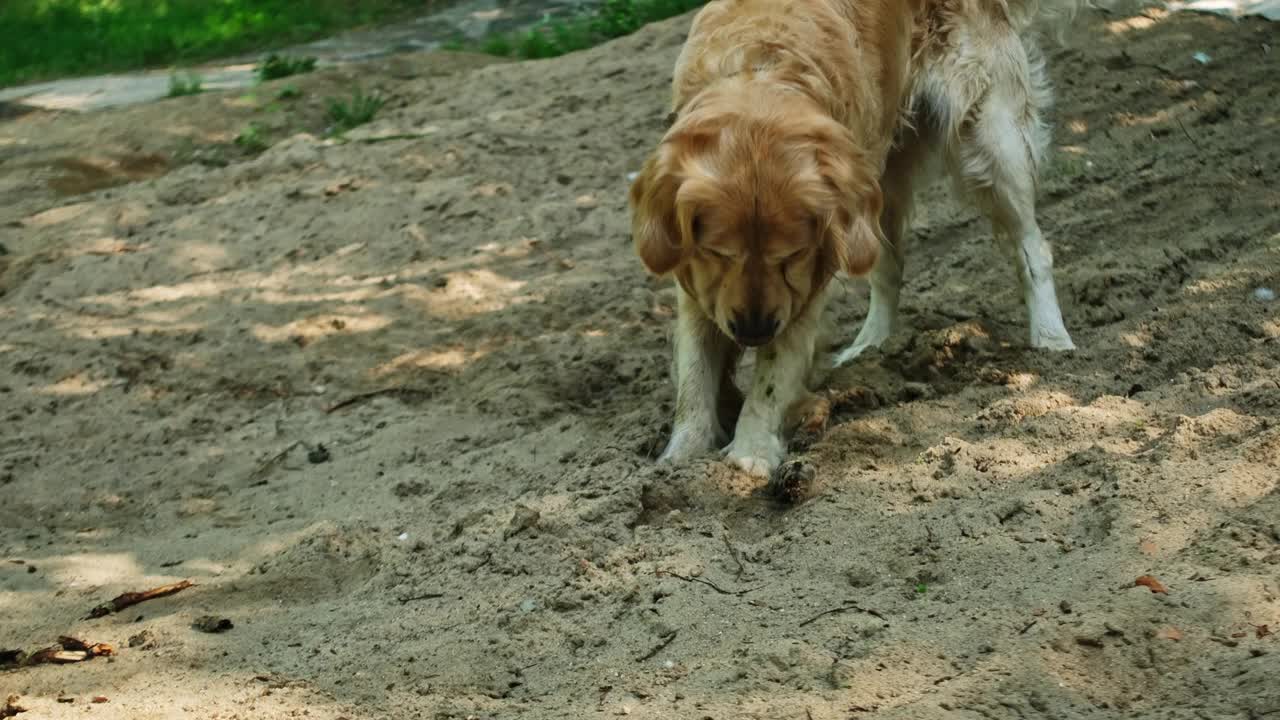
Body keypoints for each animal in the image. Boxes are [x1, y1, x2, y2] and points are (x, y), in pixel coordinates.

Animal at [629, 0, 1080, 476]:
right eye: (718, 253)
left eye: (792, 255)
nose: (754, 331)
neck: (760, 71)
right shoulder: (695, 274)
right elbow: (695, 371)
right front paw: (681, 457)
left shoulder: (806, 279)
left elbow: (772, 372)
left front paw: (749, 453)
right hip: (878, 184)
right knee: (889, 267)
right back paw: (871, 345)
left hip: (990, 144)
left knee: (1032, 248)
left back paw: (1051, 338)